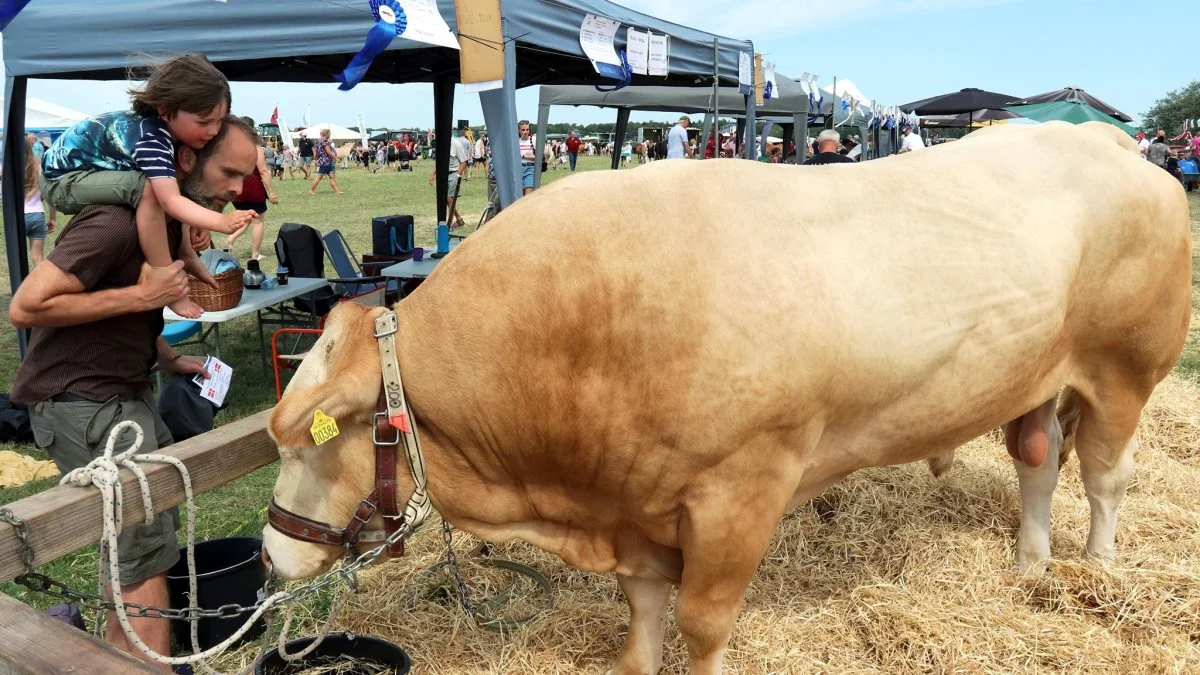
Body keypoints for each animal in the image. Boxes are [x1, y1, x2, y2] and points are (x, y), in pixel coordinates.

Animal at [260, 121, 1190, 672]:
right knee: (1038, 463)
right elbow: (642, 616)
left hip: (1126, 367)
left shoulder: (740, 493)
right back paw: (1030, 562)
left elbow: (704, 624)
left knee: (1106, 475)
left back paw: (1098, 566)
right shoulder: (631, 508)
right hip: (1034, 374)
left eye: (310, 436)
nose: (269, 557)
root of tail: (1105, 139)